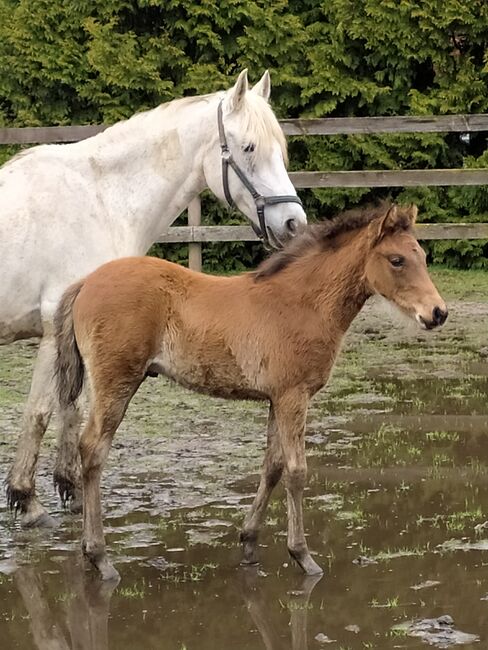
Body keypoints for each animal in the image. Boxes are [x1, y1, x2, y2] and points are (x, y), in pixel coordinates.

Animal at [1, 69, 304, 528]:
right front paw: (28, 501)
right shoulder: (55, 334)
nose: (294, 224)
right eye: (250, 148)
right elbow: (40, 413)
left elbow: (70, 410)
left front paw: (70, 489)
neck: (102, 199)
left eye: (280, 149)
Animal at [53, 202, 446, 576]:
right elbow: (297, 471)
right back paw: (100, 558)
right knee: (93, 450)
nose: (437, 313)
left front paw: (249, 542)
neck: (303, 302)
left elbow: (272, 466)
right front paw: (303, 556)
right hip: (116, 382)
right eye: (397, 260)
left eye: (424, 257)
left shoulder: (277, 398)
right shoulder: (294, 396)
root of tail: (85, 282)